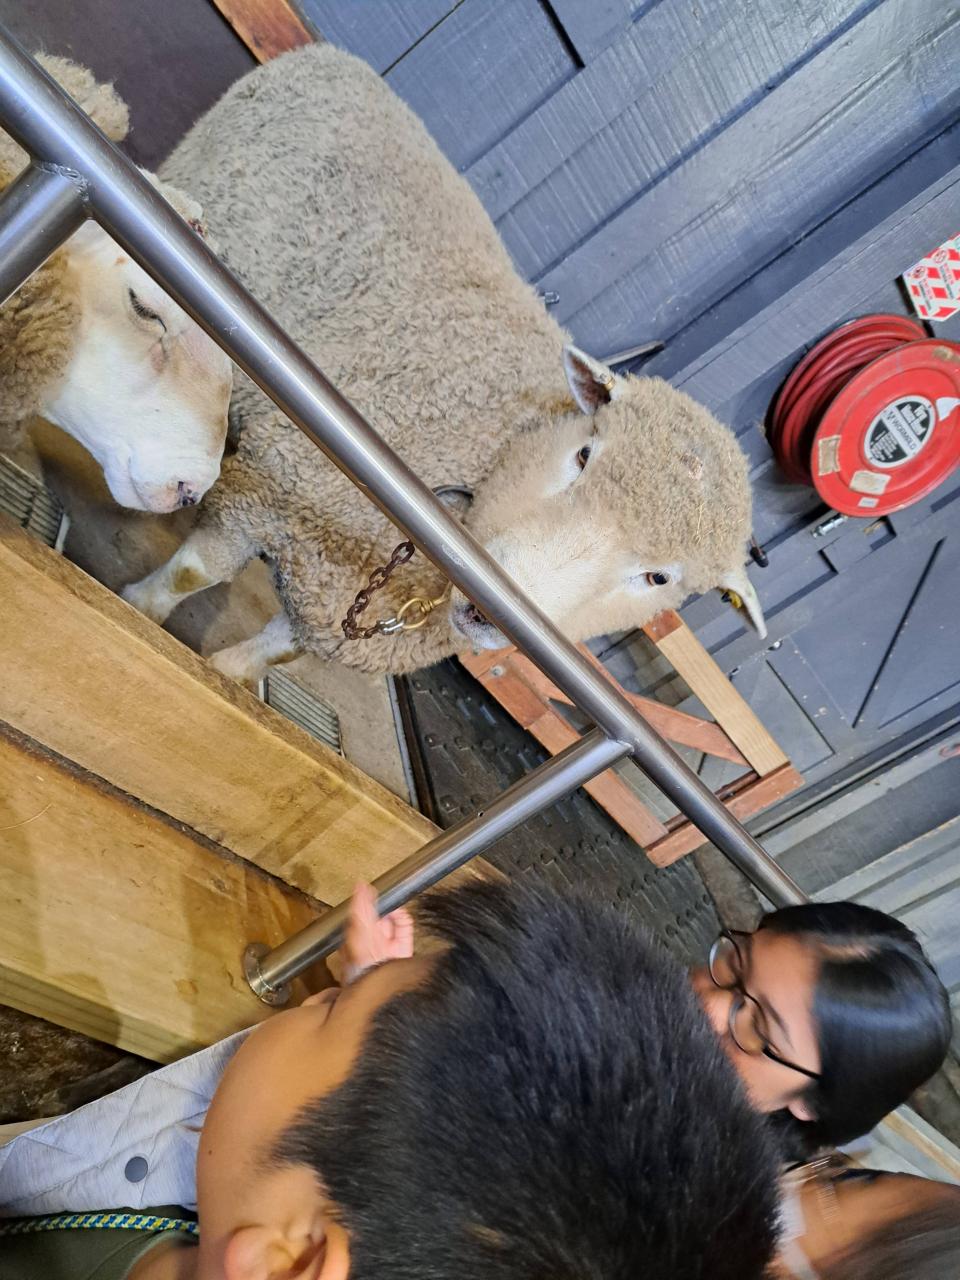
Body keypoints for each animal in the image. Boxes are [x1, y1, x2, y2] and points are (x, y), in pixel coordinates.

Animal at [123, 44, 765, 681]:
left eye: (658, 578)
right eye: (584, 455)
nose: (492, 613)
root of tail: (336, 53)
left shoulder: (341, 601)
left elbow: (267, 654)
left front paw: (228, 674)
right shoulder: (275, 485)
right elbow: (194, 573)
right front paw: (140, 612)